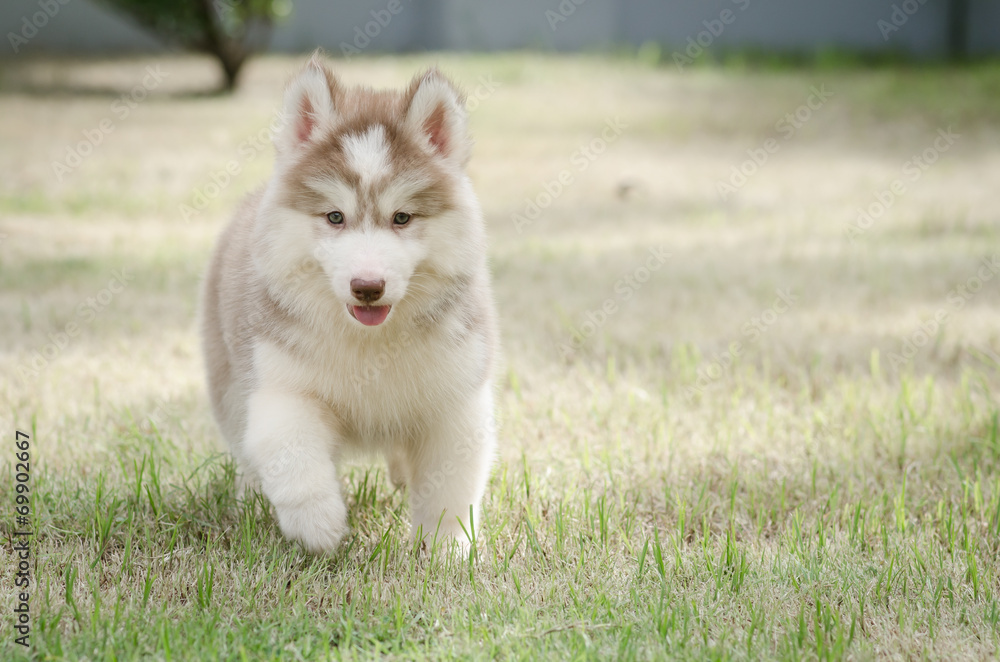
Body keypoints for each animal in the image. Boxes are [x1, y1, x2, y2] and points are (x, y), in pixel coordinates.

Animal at [201, 55, 498, 556]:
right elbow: (293, 455)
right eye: (335, 216)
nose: (367, 287)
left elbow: (448, 488)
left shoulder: (454, 402)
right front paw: (319, 525)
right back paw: (250, 498)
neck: (370, 342)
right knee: (244, 445)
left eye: (402, 217)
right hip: (228, 379)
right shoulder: (282, 385)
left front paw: (444, 550)